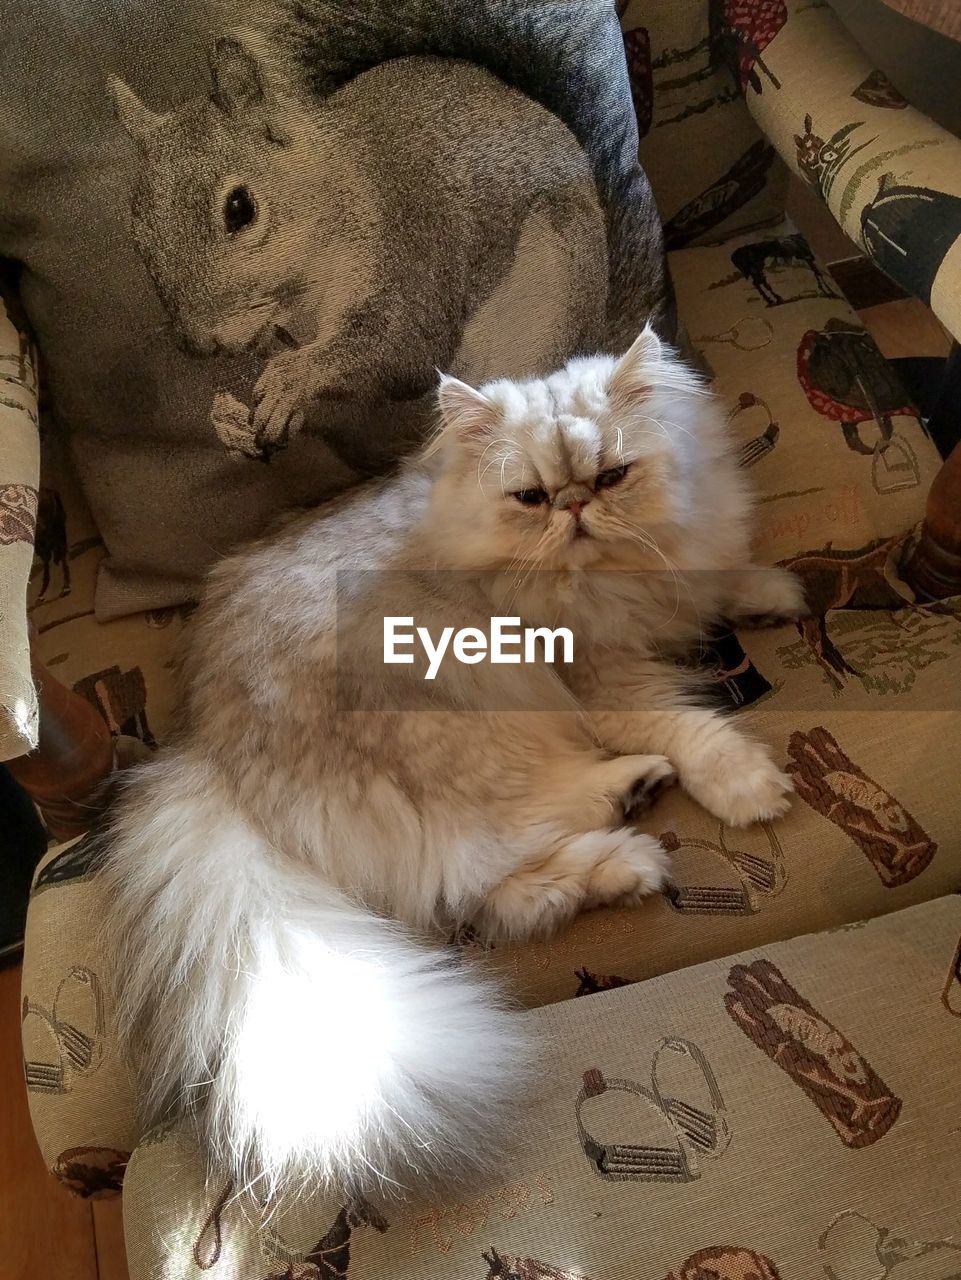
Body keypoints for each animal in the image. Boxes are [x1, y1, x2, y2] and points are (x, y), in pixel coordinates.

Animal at [97, 327, 803, 1198]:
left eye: (611, 476)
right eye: (531, 498)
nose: (576, 507)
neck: (611, 580)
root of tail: (206, 752)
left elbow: (726, 579)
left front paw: (776, 593)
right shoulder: (601, 681)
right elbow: (689, 729)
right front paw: (747, 785)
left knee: (499, 894)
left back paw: (625, 838)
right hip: (480, 733)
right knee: (496, 860)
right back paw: (631, 822)